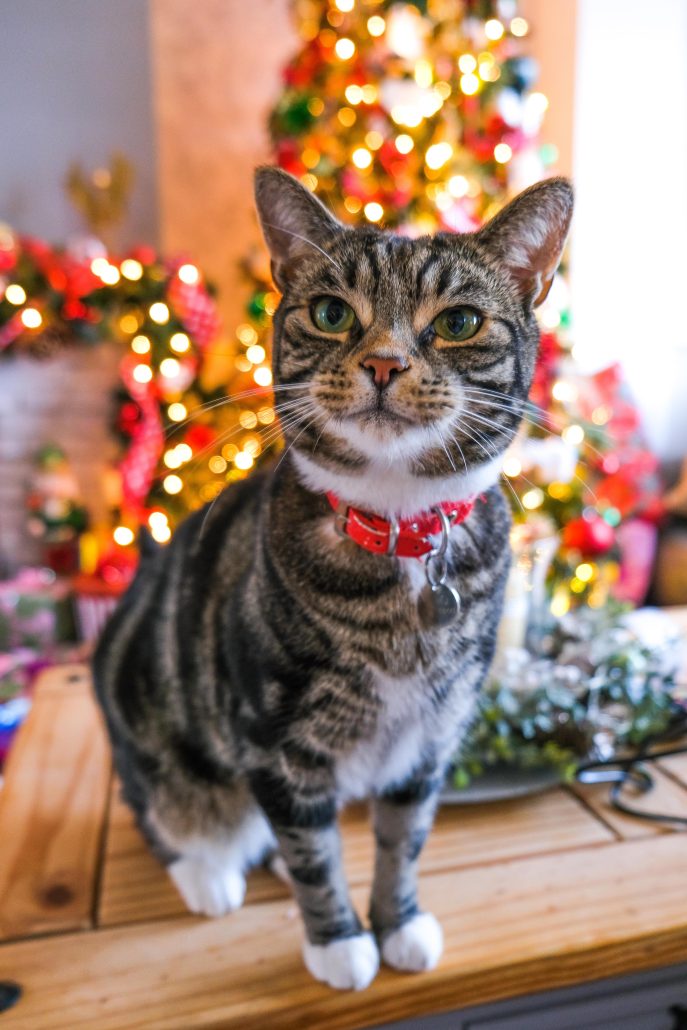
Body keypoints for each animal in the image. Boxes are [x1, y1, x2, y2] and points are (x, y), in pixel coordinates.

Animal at [92, 168, 576, 988]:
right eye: (329, 313)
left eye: (458, 322)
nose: (383, 362)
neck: (399, 532)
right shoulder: (272, 739)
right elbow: (317, 857)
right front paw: (339, 941)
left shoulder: (429, 739)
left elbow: (402, 840)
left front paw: (398, 922)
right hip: (149, 729)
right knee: (165, 805)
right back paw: (208, 872)